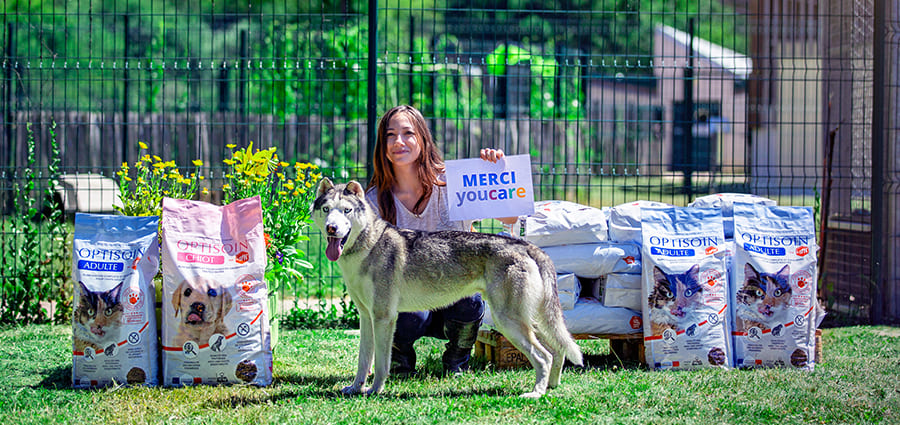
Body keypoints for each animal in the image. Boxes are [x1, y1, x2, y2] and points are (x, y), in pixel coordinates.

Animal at [312, 177, 588, 396]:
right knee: (557, 350)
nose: (331, 228)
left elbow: (380, 364)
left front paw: (375, 391)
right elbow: (363, 361)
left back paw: (536, 393)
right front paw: (355, 388)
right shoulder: (366, 317)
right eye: (326, 209)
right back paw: (551, 386)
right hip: (524, 322)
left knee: (544, 356)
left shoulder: (383, 318)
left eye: (346, 211)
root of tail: (525, 245)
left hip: (508, 322)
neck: (366, 247)